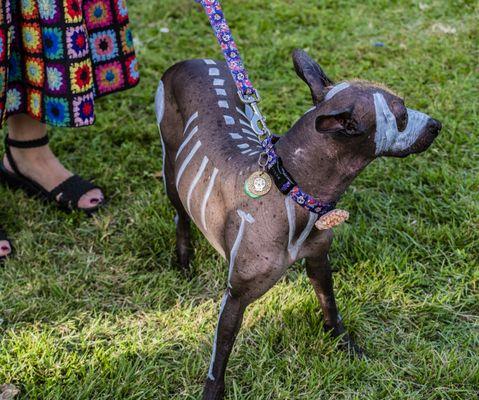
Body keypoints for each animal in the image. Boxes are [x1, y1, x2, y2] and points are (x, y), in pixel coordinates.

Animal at [155, 50, 442, 400]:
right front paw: (212, 392)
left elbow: (331, 308)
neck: (291, 190)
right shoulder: (235, 298)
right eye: (400, 114)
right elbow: (220, 357)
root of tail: (191, 61)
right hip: (171, 168)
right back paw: (184, 259)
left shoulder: (319, 261)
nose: (437, 125)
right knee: (180, 214)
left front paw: (345, 346)